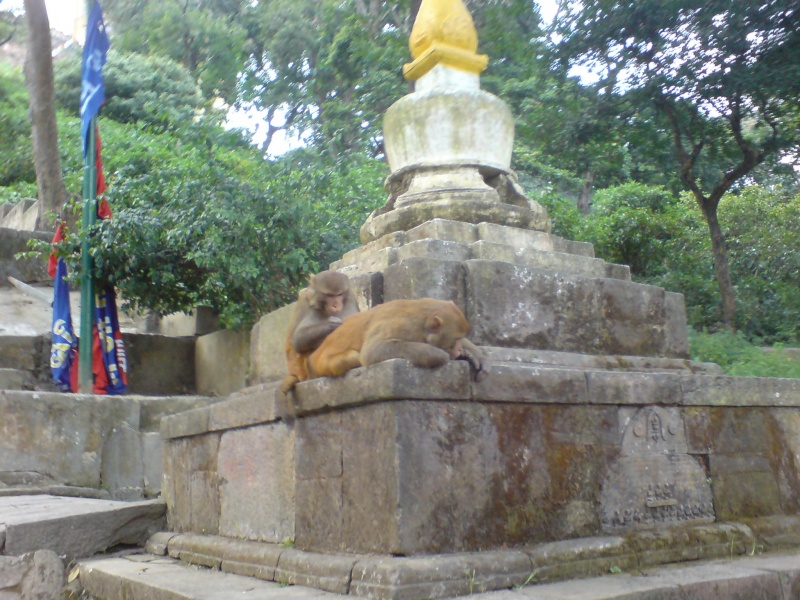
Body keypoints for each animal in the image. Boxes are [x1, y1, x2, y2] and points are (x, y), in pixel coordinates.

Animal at [280, 270, 359, 398]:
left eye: (339, 294)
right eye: (330, 295)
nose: (336, 305)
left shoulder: (350, 298)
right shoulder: (308, 302)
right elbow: (297, 340)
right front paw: (332, 324)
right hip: (303, 369)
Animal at [307, 298, 487, 381]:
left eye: (460, 338)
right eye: (455, 339)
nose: (458, 348)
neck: (421, 323)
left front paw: (474, 352)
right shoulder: (402, 325)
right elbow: (372, 351)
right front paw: (443, 355)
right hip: (323, 365)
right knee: (354, 356)